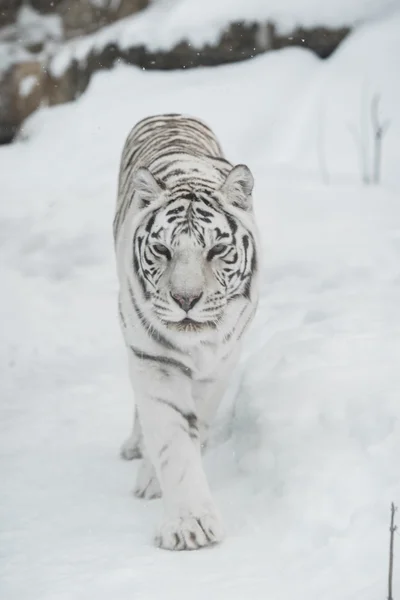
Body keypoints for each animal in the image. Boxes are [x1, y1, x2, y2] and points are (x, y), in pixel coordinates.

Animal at [114, 115, 260, 552]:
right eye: (162, 250)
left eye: (217, 250)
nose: (186, 298)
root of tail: (169, 113)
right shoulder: (153, 360)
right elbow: (171, 437)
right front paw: (189, 525)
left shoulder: (219, 362)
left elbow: (194, 423)